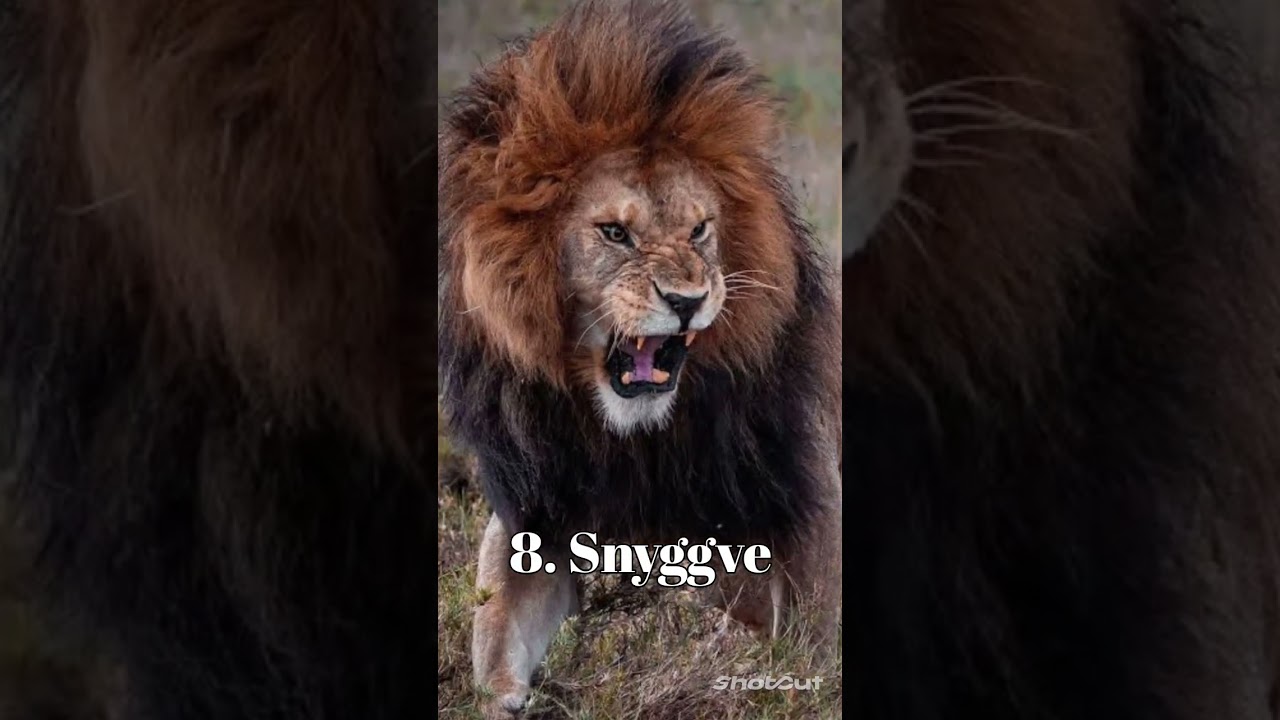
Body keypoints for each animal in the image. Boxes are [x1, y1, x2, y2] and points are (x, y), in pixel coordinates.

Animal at [437, 1, 842, 715]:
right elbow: (495, 636)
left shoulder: (808, 511)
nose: (686, 300)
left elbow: (801, 645)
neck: (635, 441)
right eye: (614, 233)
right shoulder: (538, 512)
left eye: (700, 229)